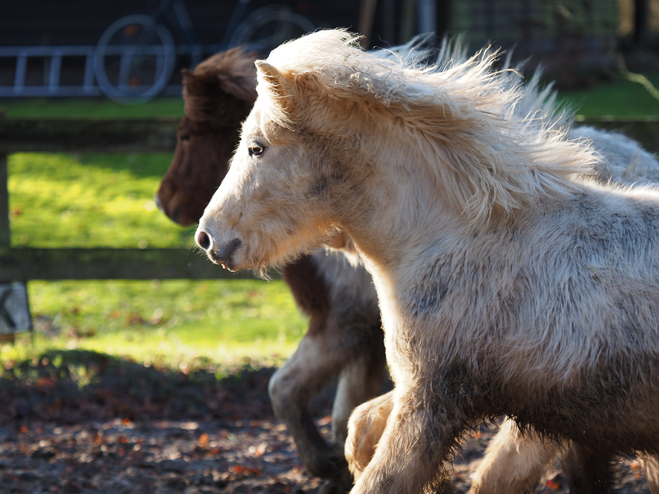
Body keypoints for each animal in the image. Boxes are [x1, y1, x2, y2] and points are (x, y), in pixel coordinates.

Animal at [199, 30, 659, 494]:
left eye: (256, 147)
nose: (208, 237)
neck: (449, 238)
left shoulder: (432, 401)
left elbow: (381, 473)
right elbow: (361, 428)